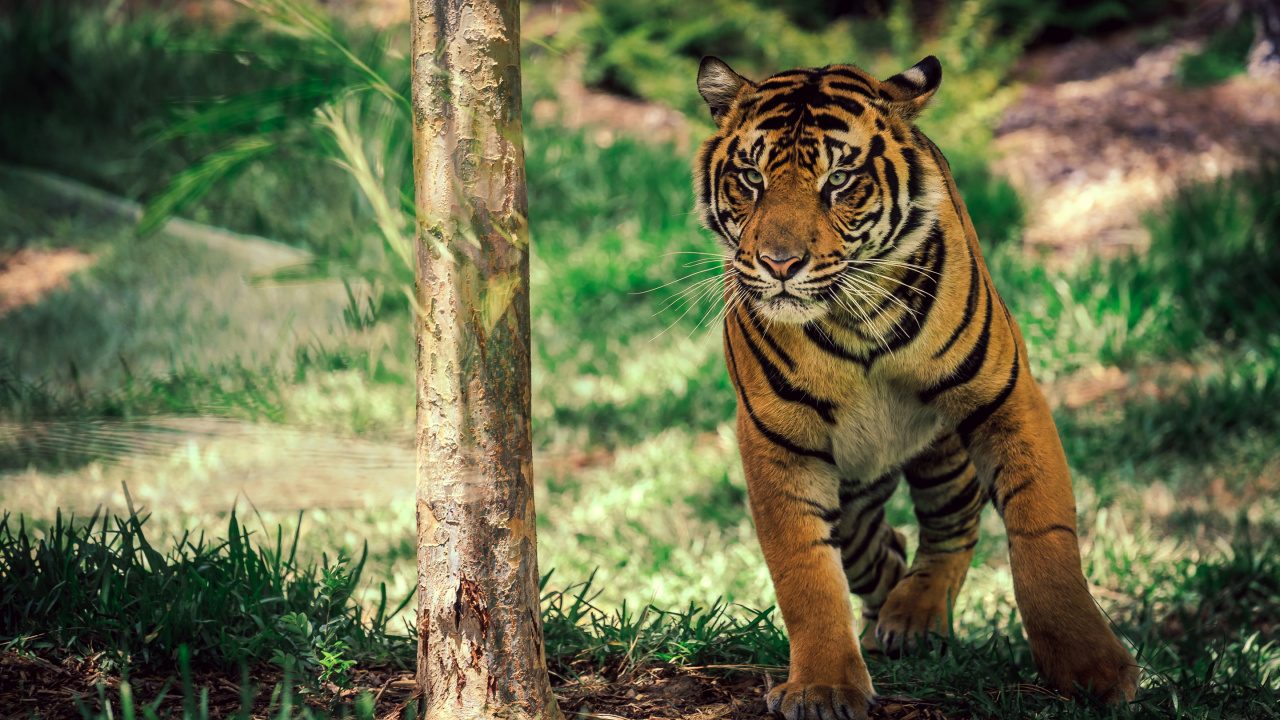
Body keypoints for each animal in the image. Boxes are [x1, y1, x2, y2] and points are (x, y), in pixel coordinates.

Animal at [692, 55, 1139, 719]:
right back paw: (885, 623)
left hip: (942, 451)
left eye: (839, 180)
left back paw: (914, 616)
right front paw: (825, 686)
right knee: (879, 546)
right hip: (856, 488)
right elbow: (805, 572)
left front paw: (1094, 670)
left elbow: (1044, 539)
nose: (779, 264)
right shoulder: (779, 441)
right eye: (751, 178)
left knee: (953, 528)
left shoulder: (1005, 397)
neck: (851, 320)